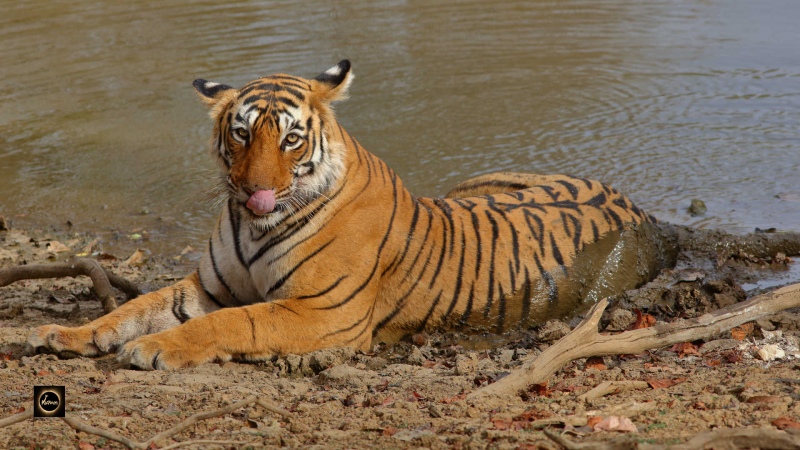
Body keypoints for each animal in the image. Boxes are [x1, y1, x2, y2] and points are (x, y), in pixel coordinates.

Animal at [27, 60, 670, 370]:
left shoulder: (322, 311)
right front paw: (65, 334)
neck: (253, 226)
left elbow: (232, 324)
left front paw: (157, 349)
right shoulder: (207, 288)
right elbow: (132, 309)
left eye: (290, 139)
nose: (256, 192)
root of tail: (638, 207)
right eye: (241, 133)